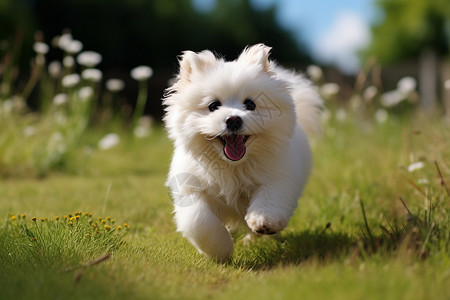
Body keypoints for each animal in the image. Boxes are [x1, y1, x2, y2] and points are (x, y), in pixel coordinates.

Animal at [163, 43, 322, 262]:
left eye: (250, 104)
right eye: (213, 105)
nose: (234, 119)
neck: (232, 166)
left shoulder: (278, 177)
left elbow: (268, 199)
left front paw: (263, 222)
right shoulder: (191, 190)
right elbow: (200, 221)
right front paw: (221, 249)